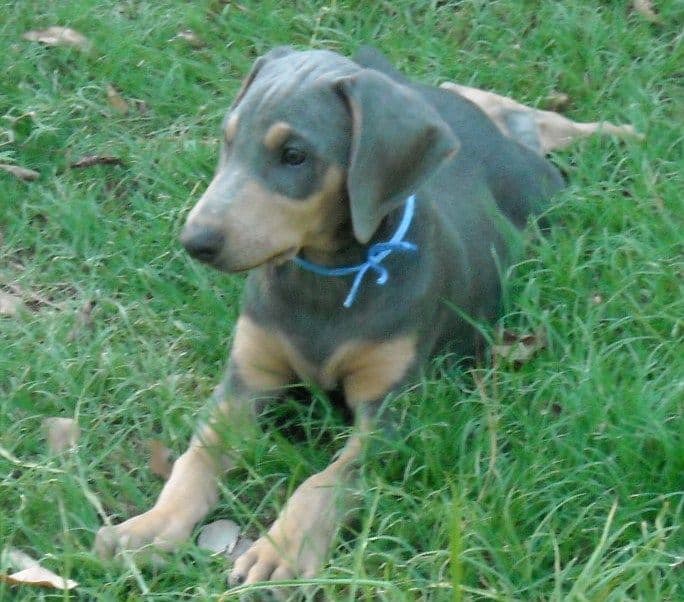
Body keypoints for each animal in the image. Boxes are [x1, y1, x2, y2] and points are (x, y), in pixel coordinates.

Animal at [93, 45, 560, 580]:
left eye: (294, 156)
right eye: (228, 141)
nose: (195, 241)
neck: (326, 280)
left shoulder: (390, 414)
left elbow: (324, 481)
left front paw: (282, 551)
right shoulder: (246, 380)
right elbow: (196, 458)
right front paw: (150, 527)